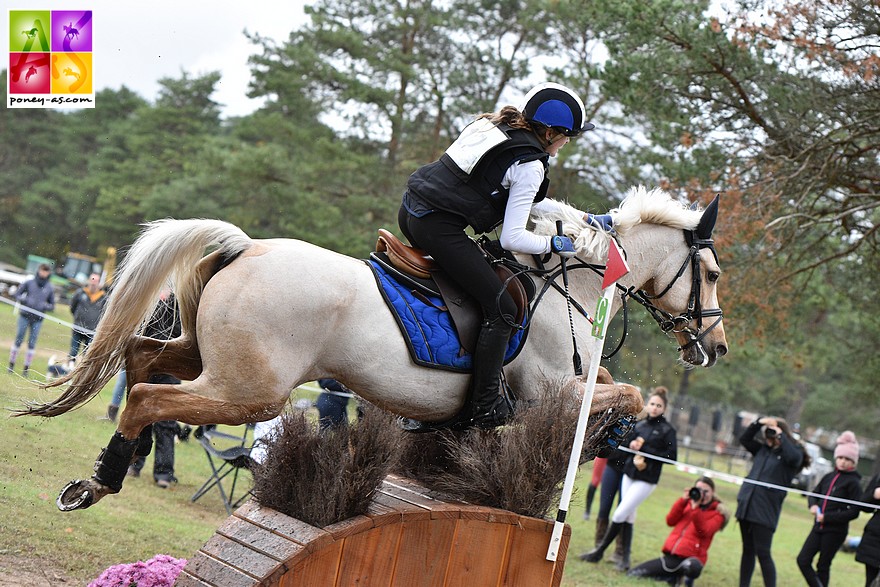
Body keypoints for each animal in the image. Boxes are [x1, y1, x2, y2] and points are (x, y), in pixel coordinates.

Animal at [22, 187, 728, 510]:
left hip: (209, 360)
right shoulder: (553, 389)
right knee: (145, 393)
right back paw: (103, 479)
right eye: (715, 274)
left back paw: (119, 462)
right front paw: (607, 438)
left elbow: (617, 386)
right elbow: (625, 391)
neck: (571, 283)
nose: (715, 347)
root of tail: (247, 246)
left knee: (141, 360)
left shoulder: (573, 385)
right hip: (251, 389)